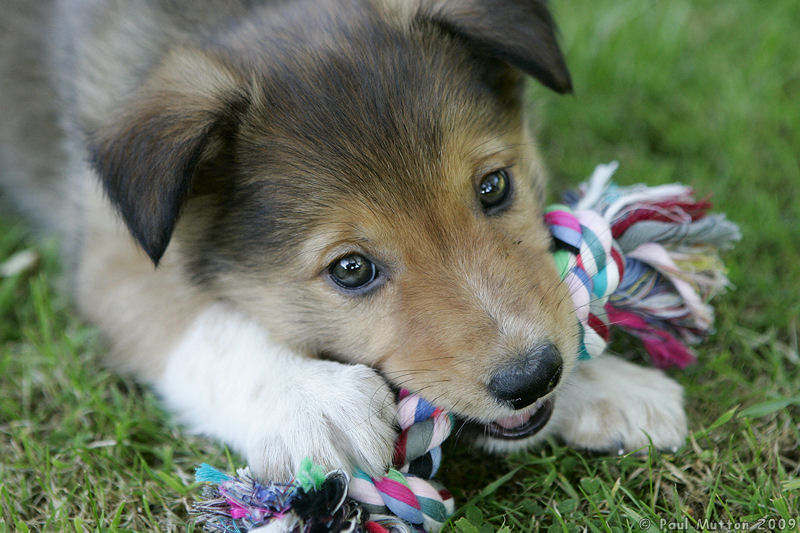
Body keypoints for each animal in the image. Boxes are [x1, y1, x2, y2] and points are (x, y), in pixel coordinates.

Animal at [1, 0, 688, 480]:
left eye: (494, 187)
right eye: (351, 270)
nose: (533, 377)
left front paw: (610, 385)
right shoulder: (112, 254)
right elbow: (196, 324)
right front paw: (313, 403)